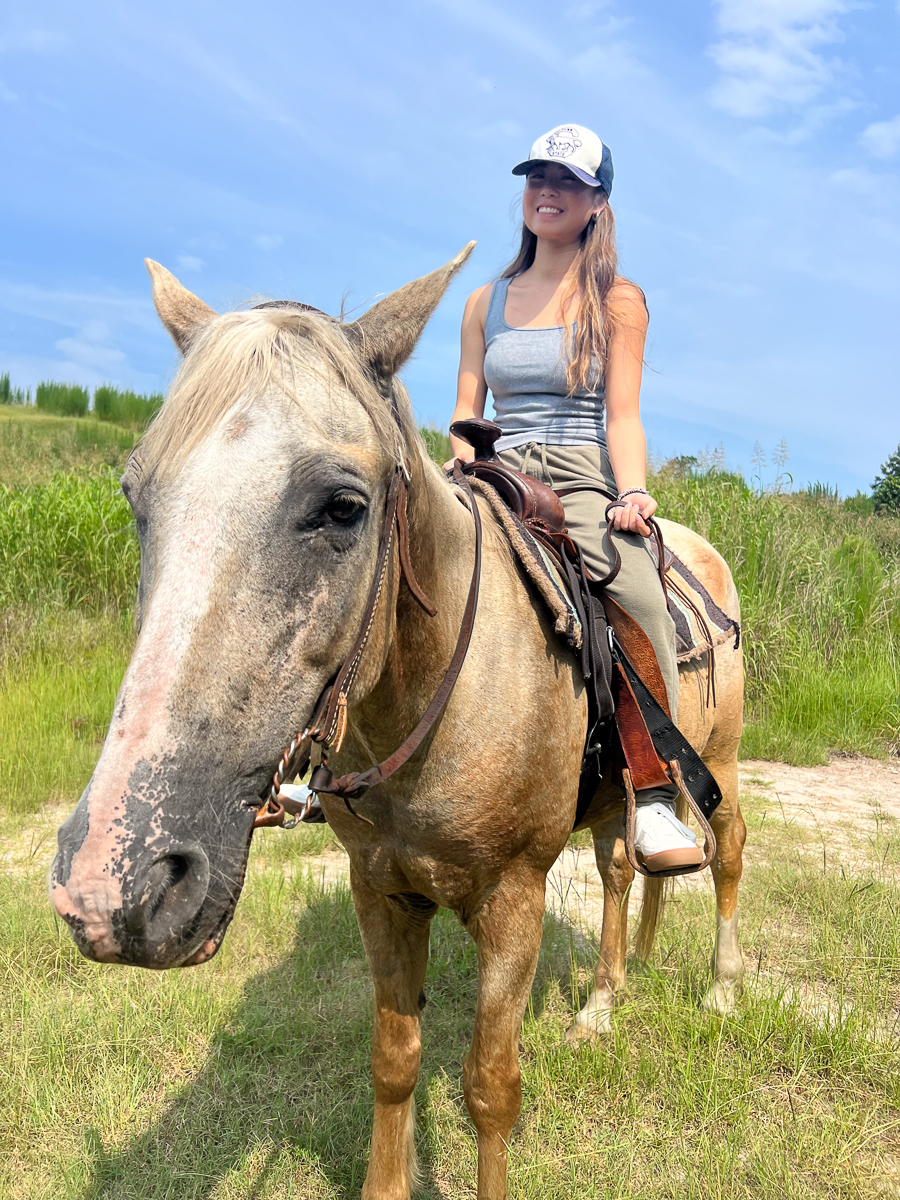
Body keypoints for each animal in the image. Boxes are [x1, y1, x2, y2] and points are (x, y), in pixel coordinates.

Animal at [51, 246, 745, 1200]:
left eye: (343, 506)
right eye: (135, 496)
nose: (114, 886)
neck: (434, 705)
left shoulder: (513, 901)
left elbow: (491, 1087)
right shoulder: (379, 890)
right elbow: (394, 1061)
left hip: (722, 764)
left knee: (728, 853)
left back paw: (722, 988)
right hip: (614, 803)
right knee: (617, 872)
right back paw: (604, 1002)